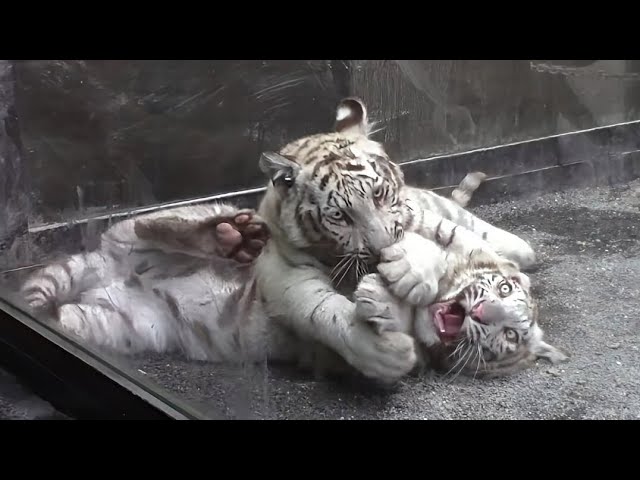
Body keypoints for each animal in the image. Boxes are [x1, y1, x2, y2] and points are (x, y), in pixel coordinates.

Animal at [18, 96, 561, 384]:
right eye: (340, 215)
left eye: (381, 193)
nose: (380, 251)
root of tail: (106, 269)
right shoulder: (284, 270)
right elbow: (324, 312)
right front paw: (385, 350)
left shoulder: (425, 225)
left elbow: (435, 245)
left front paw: (408, 270)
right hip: (138, 244)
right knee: (142, 226)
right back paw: (229, 237)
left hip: (107, 324)